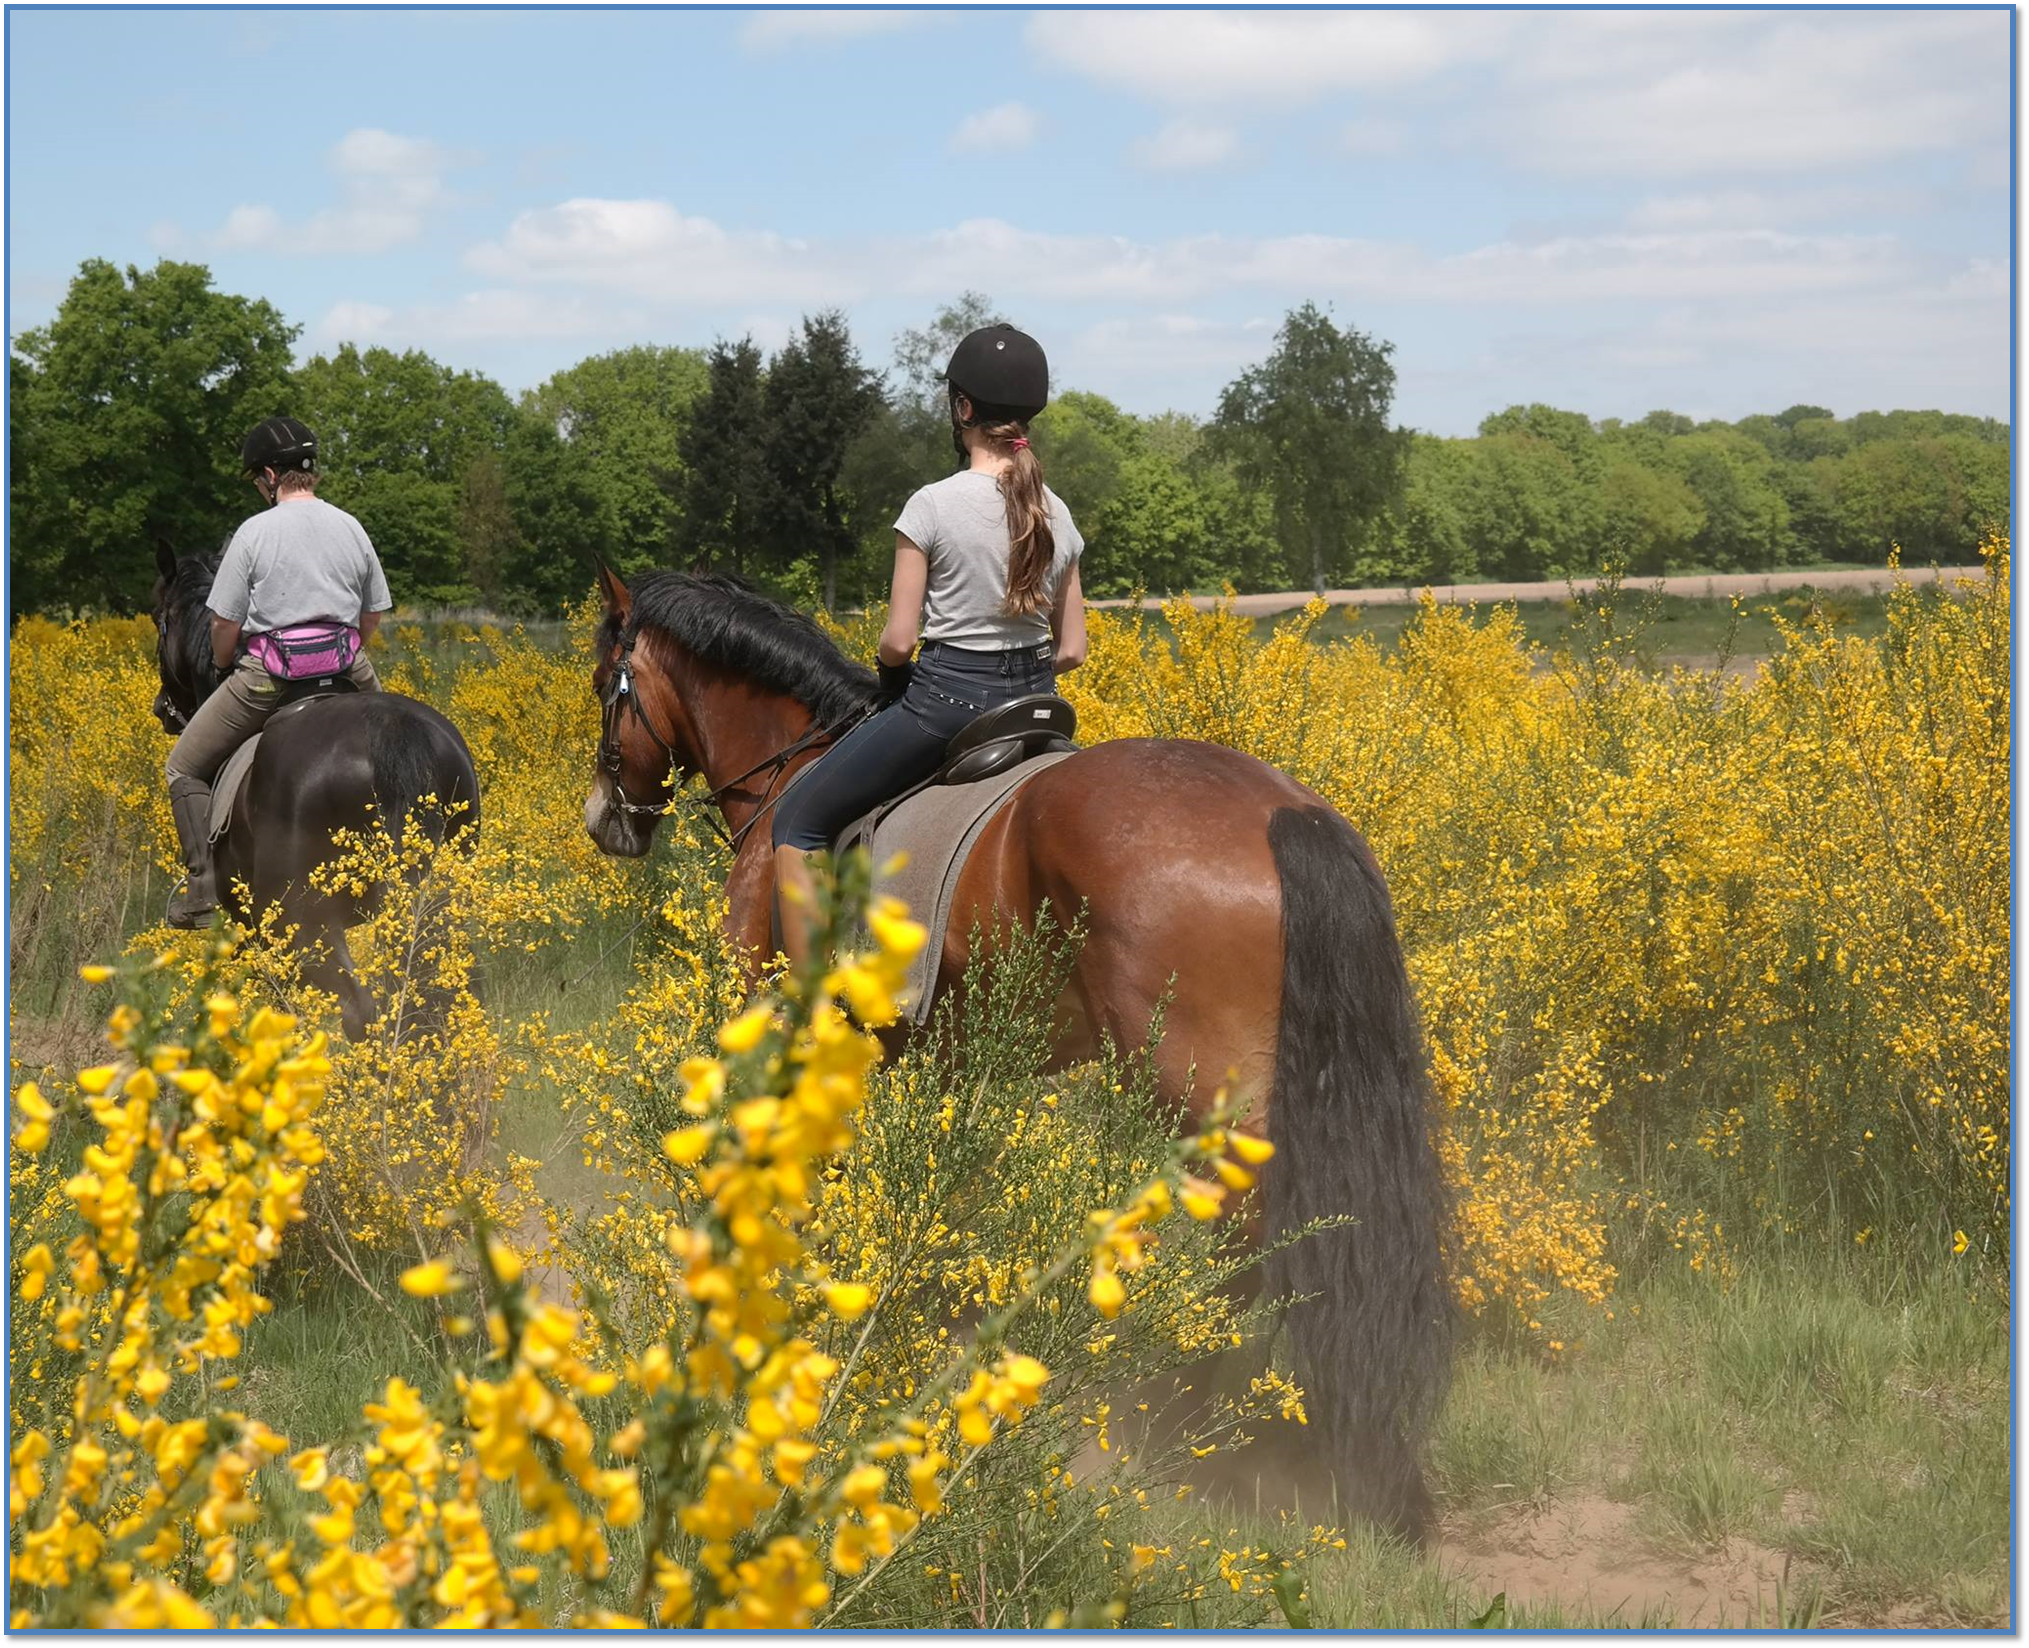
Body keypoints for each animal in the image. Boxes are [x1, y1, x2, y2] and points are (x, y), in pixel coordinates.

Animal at [151, 547, 482, 1035]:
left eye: (160, 619)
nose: (164, 710)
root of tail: (388, 727)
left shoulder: (256, 931)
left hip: (298, 921)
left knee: (359, 1009)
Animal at [580, 568, 1452, 1542]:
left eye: (603, 683)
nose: (604, 820)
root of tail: (1283, 813)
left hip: (1193, 1090)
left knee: (1241, 1240)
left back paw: (1162, 1414)